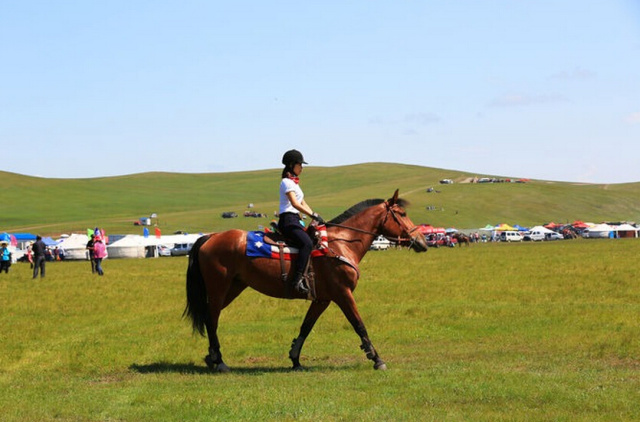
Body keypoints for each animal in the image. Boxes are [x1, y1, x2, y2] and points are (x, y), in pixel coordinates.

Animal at [182, 190, 428, 370]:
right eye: (402, 214)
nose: (422, 241)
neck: (341, 243)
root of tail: (210, 237)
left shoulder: (322, 299)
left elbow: (306, 326)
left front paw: (295, 359)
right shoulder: (343, 294)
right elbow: (359, 324)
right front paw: (377, 359)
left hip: (233, 287)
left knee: (210, 318)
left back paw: (212, 357)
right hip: (218, 288)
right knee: (211, 319)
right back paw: (219, 361)